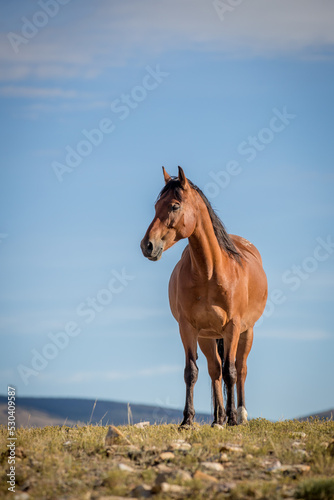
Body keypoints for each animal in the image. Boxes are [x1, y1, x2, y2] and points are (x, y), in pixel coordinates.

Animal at [140, 167, 268, 426]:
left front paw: (232, 419)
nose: (147, 245)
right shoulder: (188, 328)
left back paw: (240, 414)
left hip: (246, 331)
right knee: (214, 370)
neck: (209, 272)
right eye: (156, 205)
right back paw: (217, 418)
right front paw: (187, 421)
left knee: (240, 369)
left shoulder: (232, 327)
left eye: (174, 206)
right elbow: (193, 372)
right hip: (207, 337)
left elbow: (231, 372)